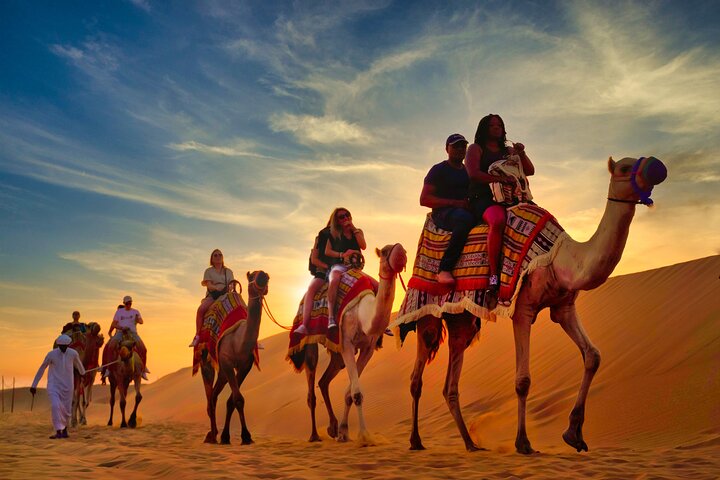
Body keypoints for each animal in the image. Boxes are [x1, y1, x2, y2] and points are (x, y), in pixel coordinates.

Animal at [204, 270, 269, 445]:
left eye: (266, 276)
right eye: (252, 275)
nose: (263, 275)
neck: (239, 342)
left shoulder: (245, 365)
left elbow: (232, 400)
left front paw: (227, 436)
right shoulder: (226, 361)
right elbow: (238, 399)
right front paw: (245, 436)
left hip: (222, 372)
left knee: (214, 395)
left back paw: (214, 434)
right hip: (207, 358)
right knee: (210, 395)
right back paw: (211, 435)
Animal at [294, 244, 407, 445]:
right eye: (385, 252)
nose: (401, 252)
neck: (364, 314)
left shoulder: (368, 349)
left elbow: (349, 393)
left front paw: (344, 432)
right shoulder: (347, 344)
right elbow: (356, 394)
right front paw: (364, 436)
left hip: (336, 353)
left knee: (323, 381)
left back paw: (332, 427)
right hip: (311, 343)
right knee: (311, 387)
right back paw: (314, 435)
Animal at [403, 156, 667, 453]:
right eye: (624, 167)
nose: (656, 165)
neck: (560, 258)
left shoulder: (564, 307)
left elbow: (593, 356)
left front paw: (574, 434)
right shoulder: (523, 310)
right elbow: (523, 380)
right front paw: (523, 443)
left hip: (462, 320)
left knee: (451, 382)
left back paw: (471, 444)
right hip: (426, 311)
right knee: (417, 377)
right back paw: (416, 441)